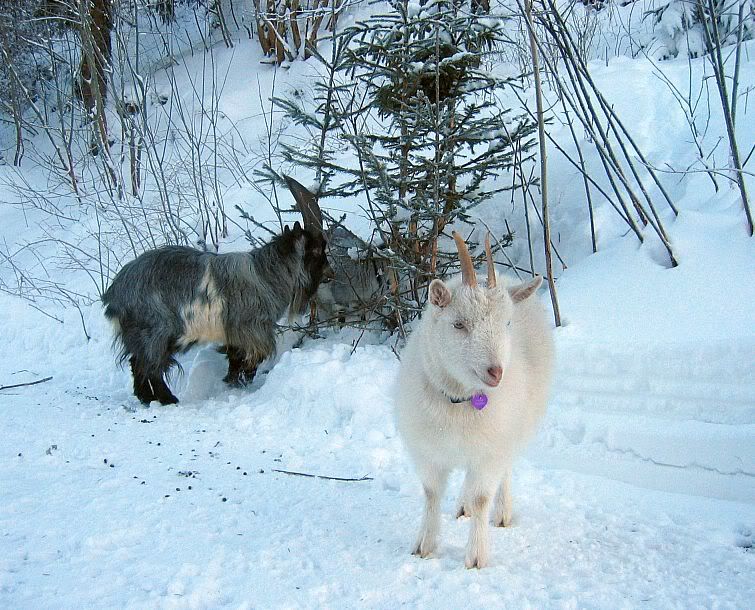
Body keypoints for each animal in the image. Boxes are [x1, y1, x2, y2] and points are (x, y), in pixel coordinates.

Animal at [102, 198, 328, 405]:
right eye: (317, 250)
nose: (330, 270)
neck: (265, 275)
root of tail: (114, 294)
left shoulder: (236, 333)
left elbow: (235, 356)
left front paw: (232, 381)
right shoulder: (251, 328)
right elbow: (250, 358)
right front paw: (240, 381)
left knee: (138, 364)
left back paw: (147, 398)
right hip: (154, 333)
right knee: (149, 367)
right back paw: (167, 399)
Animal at [394, 232, 554, 569]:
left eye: (507, 323)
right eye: (459, 324)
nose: (496, 372)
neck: (460, 402)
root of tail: (509, 278)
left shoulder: (491, 450)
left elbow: (482, 499)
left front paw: (477, 557)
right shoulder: (428, 451)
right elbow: (431, 493)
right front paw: (424, 546)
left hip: (511, 431)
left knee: (503, 473)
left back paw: (502, 512)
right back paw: (463, 506)